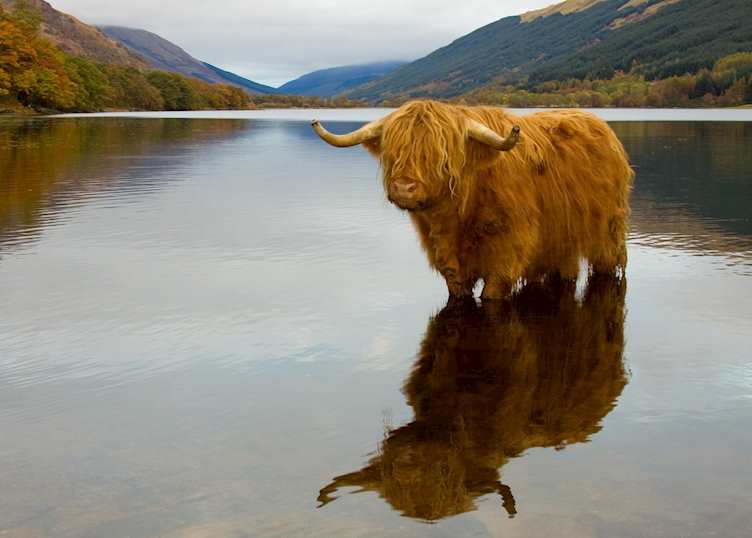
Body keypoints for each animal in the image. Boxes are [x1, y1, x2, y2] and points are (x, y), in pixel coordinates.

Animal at [312, 101, 633, 299]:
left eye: (440, 157)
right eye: (393, 153)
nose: (403, 187)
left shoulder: (508, 249)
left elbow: (493, 289)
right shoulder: (448, 262)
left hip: (609, 229)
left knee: (608, 262)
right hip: (561, 236)